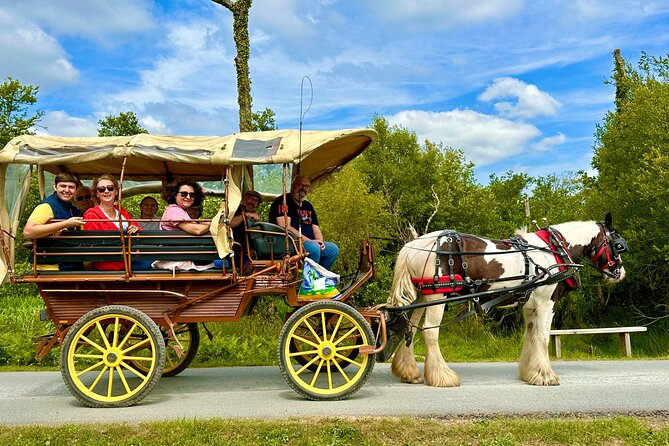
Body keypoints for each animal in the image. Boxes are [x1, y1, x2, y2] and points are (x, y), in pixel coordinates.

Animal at [386, 213, 628, 386]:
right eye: (617, 245)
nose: (620, 273)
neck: (553, 250)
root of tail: (414, 244)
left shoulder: (530, 305)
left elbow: (530, 335)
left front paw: (530, 373)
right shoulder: (546, 302)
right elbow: (542, 337)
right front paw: (546, 375)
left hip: (422, 295)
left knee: (411, 328)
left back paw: (409, 372)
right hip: (437, 294)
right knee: (430, 332)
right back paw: (443, 377)